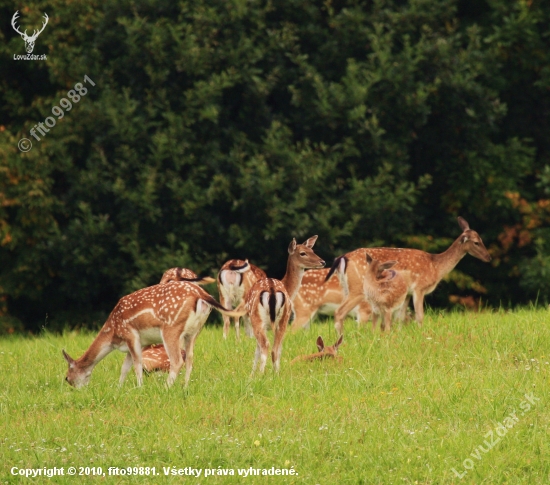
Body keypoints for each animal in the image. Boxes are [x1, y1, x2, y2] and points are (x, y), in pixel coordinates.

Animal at [62, 282, 246, 388]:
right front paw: (119, 388)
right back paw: (185, 387)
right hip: (195, 331)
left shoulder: (130, 335)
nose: (74, 387)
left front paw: (139, 388)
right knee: (190, 358)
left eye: (67, 377)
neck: (113, 334)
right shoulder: (138, 342)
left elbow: (136, 365)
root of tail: (201, 294)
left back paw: (166, 388)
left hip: (171, 328)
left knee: (177, 360)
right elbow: (125, 367)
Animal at [245, 236, 326, 372]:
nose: (323, 262)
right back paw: (272, 374)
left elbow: (257, 350)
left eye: (312, 250)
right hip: (281, 319)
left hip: (261, 319)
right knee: (273, 348)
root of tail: (272, 290)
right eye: (303, 253)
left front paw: (252, 375)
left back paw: (265, 374)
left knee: (267, 346)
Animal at [326, 217, 494, 334]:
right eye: (476, 242)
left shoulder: (406, 293)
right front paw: (421, 333)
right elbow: (419, 315)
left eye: (481, 239)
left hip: (346, 288)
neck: (436, 267)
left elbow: (401, 317)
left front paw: (400, 334)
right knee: (340, 312)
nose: (488, 257)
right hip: (358, 288)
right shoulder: (419, 288)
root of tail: (342, 258)